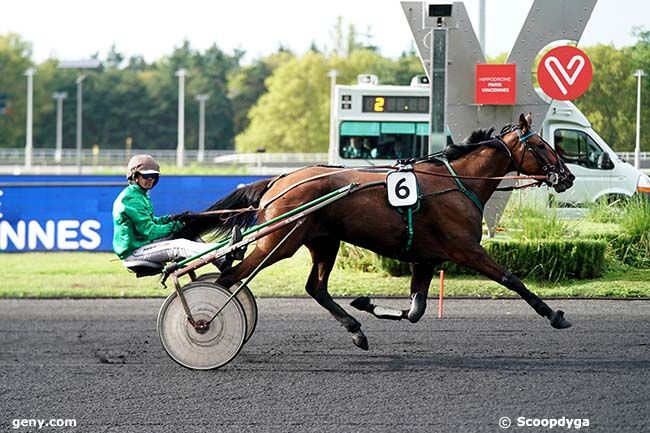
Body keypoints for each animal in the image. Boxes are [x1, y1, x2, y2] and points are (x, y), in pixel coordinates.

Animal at [173, 113, 572, 350]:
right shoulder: (465, 249)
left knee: (314, 287)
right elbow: (511, 279)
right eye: (541, 145)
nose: (566, 176)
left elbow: (416, 310)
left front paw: (365, 303)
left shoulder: (426, 258)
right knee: (228, 279)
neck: (457, 182)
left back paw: (355, 328)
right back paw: (204, 324)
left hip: (323, 241)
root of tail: (279, 180)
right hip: (280, 241)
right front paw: (555, 315)